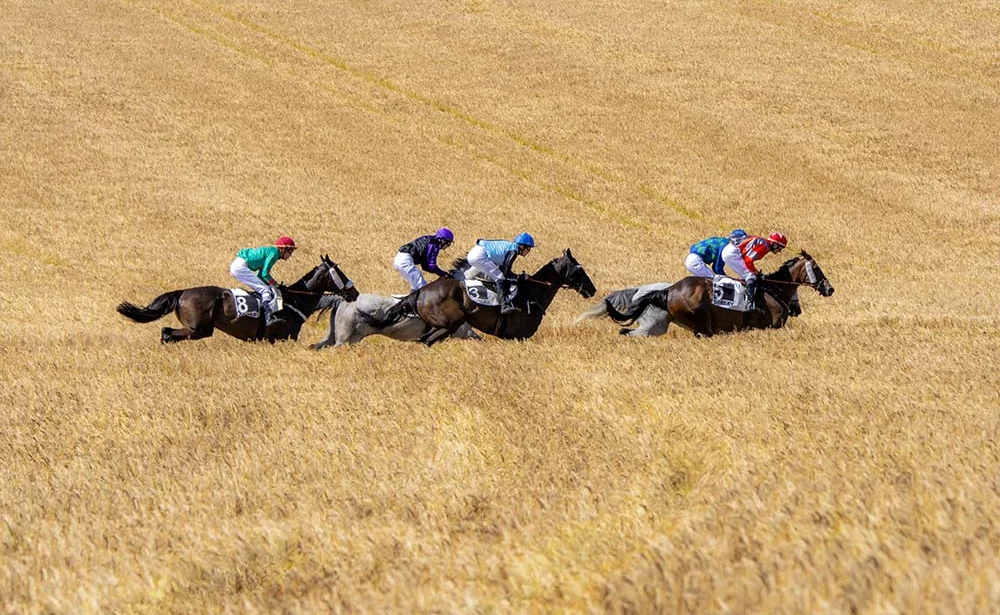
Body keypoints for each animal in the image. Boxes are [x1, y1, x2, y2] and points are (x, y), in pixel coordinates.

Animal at [117, 254, 360, 344]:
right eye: (340, 272)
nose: (355, 293)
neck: (295, 301)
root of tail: (183, 292)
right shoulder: (282, 338)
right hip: (200, 328)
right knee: (167, 333)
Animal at [358, 250, 592, 346]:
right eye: (579, 270)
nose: (592, 289)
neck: (533, 293)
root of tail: (420, 292)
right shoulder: (518, 337)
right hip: (450, 323)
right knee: (426, 340)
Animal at [584, 250, 832, 336]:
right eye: (817, 268)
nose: (830, 288)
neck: (773, 289)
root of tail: (668, 290)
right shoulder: (771, 326)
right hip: (701, 323)